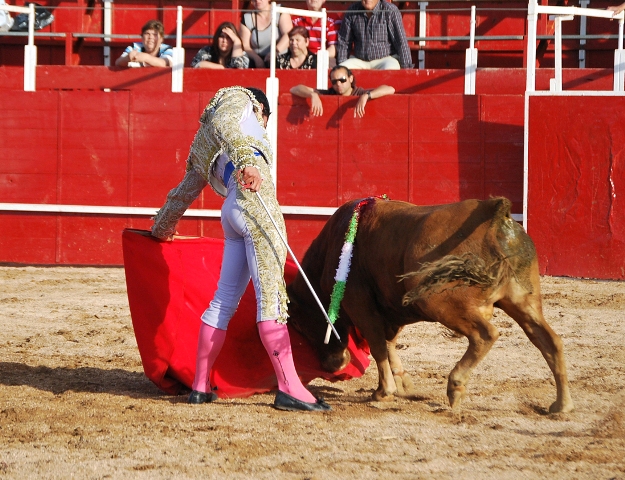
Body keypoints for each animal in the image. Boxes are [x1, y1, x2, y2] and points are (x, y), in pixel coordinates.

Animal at [286, 197, 572, 414]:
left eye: (299, 323)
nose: (331, 366)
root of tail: (494, 215)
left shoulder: (359, 303)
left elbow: (378, 345)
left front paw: (384, 392)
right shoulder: (392, 309)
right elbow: (389, 344)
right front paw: (403, 384)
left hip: (439, 301)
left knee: (485, 334)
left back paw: (455, 387)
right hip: (523, 300)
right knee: (550, 341)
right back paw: (561, 405)